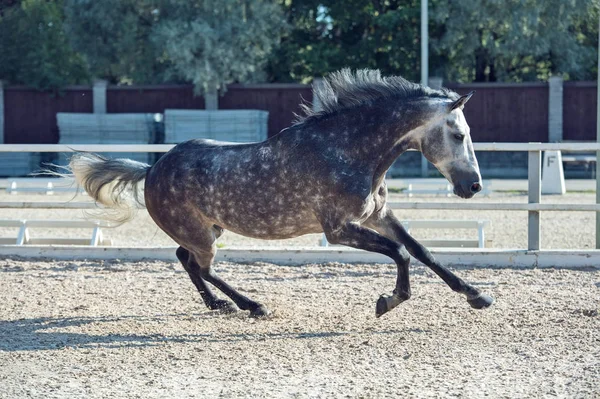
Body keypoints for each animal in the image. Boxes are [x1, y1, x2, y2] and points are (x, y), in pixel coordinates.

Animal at [70, 69, 492, 318]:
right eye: (459, 134)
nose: (473, 186)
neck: (349, 150)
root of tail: (152, 169)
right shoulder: (339, 229)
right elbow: (401, 253)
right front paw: (388, 301)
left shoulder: (377, 216)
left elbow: (421, 251)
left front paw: (477, 295)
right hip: (202, 235)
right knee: (202, 266)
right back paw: (252, 305)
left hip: (206, 229)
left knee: (185, 260)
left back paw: (218, 304)